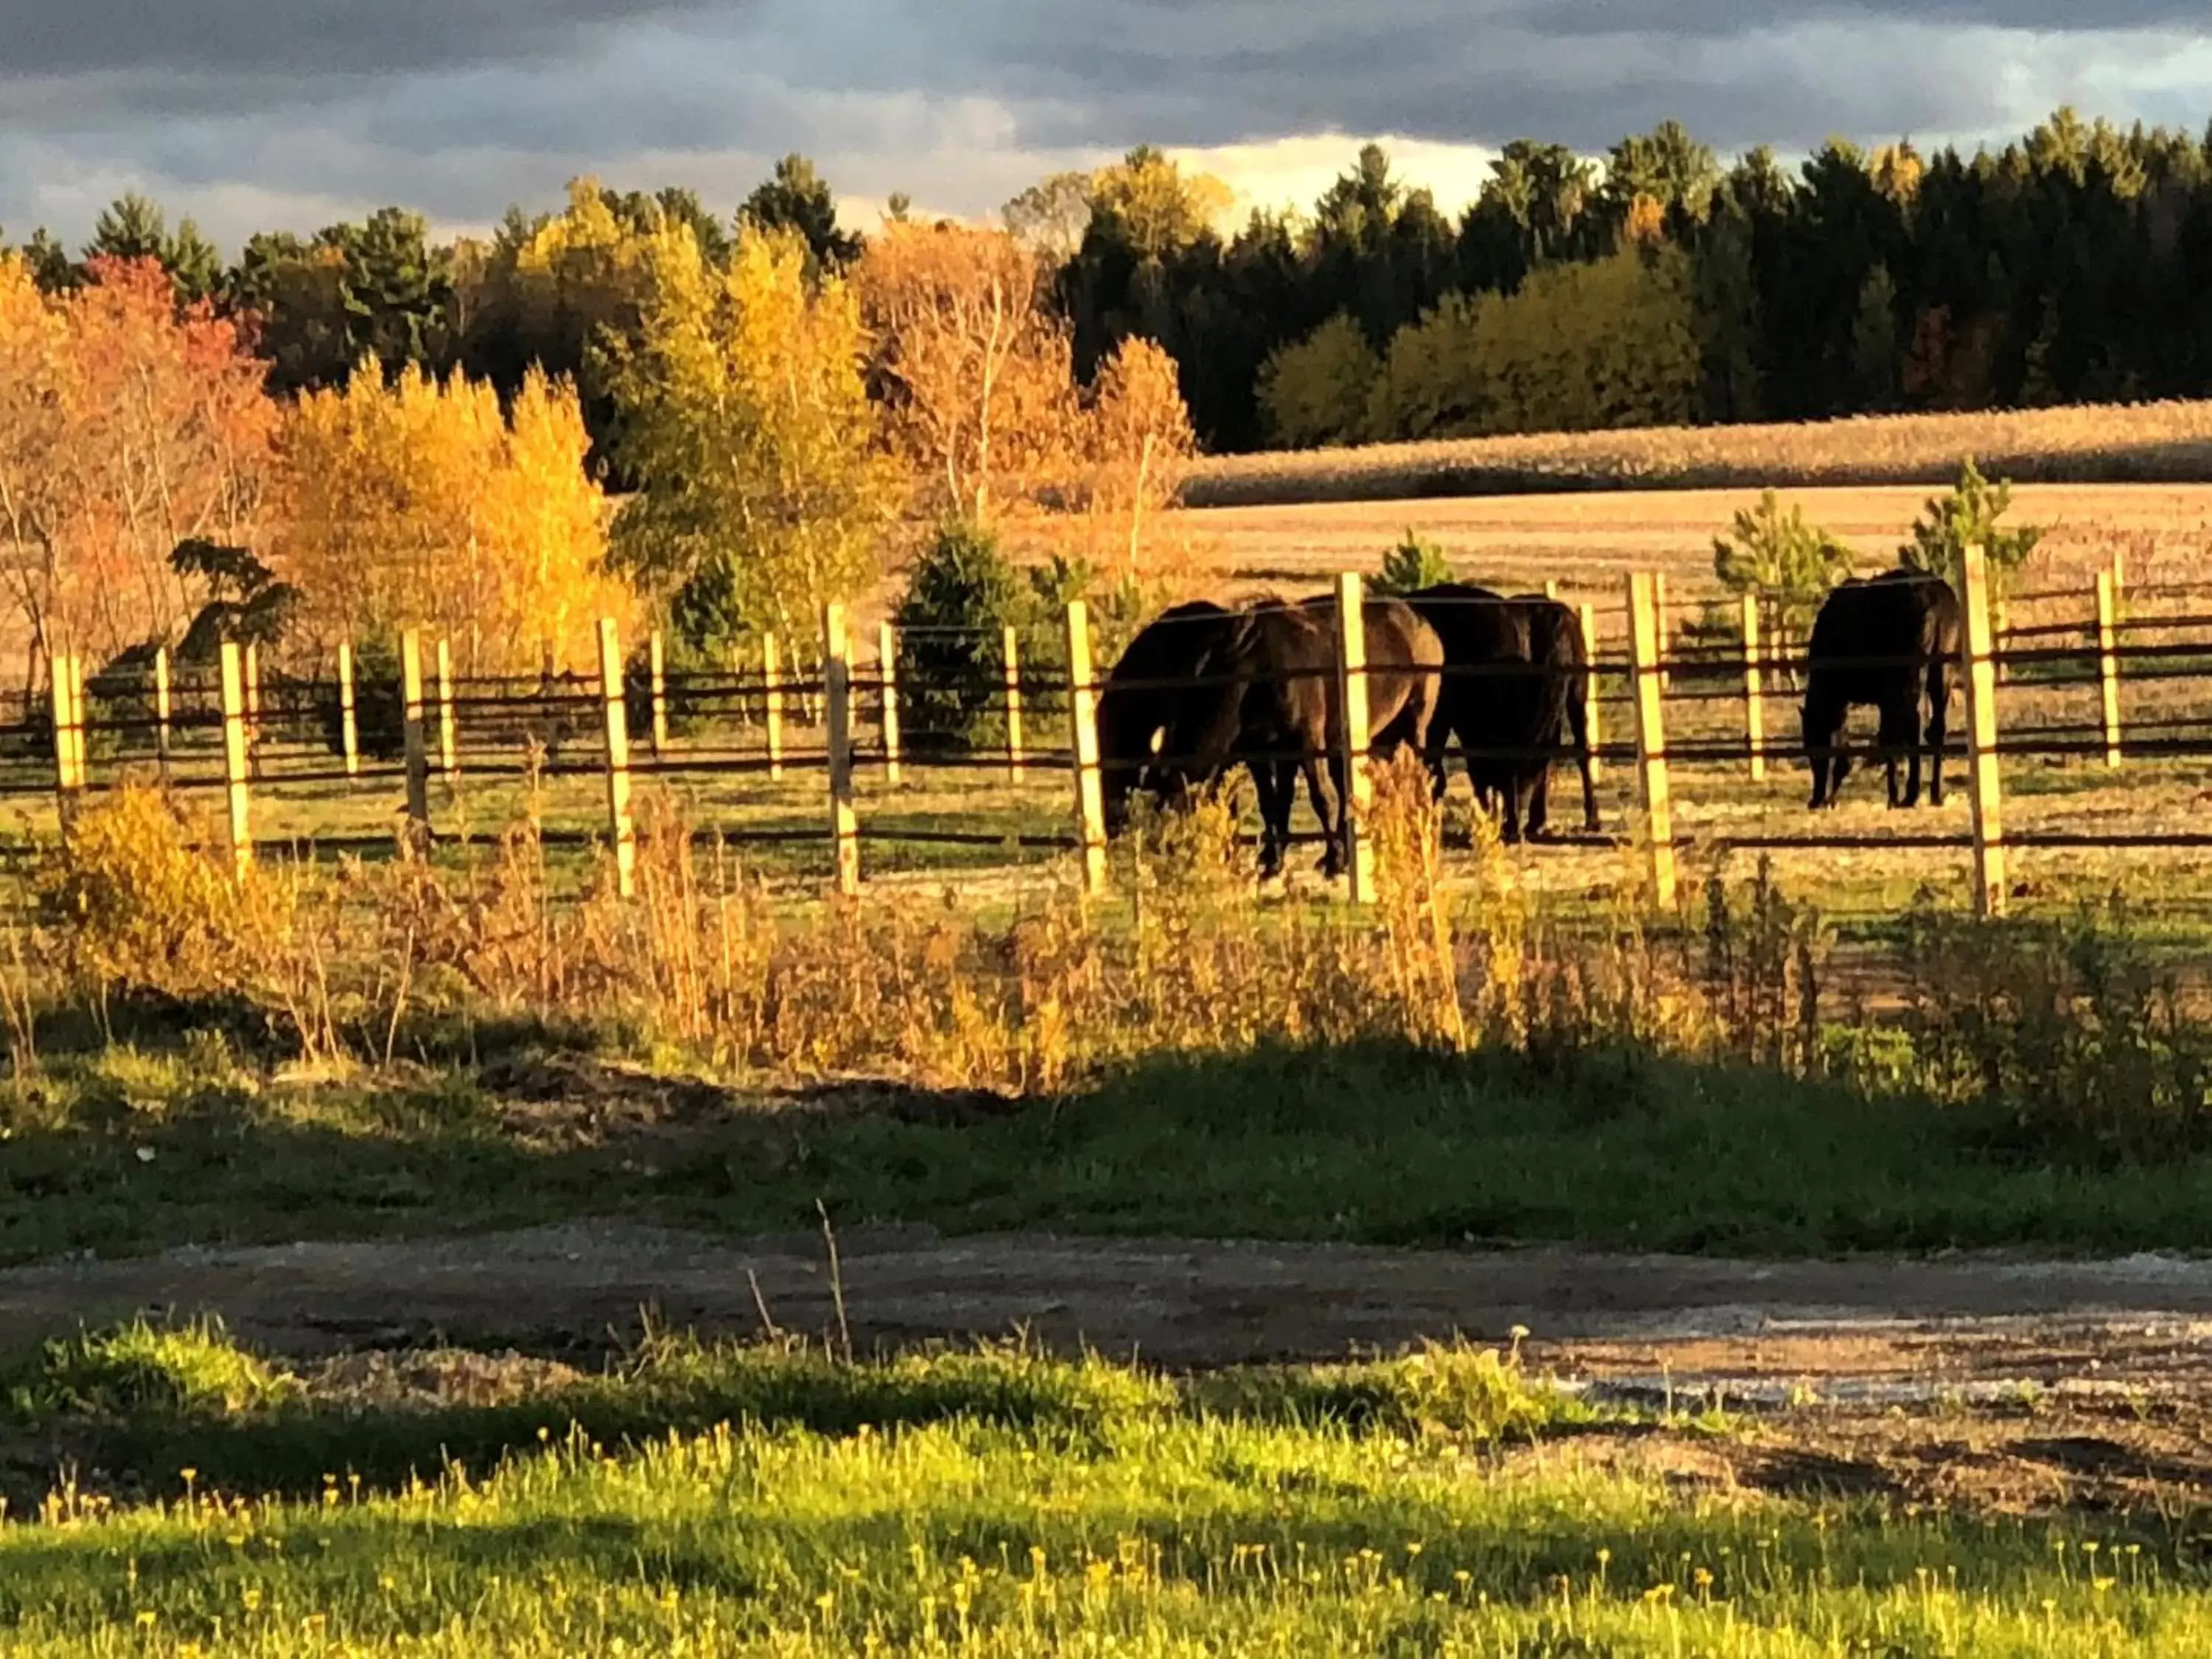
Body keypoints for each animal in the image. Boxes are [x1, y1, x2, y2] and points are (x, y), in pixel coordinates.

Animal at [1141, 597, 1451, 885]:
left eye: (1172, 810)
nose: (1162, 858)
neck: (1256, 673)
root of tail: (1423, 624)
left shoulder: (1307, 744)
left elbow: (1321, 798)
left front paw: (1332, 862)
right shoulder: (1264, 752)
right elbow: (1274, 803)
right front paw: (1273, 863)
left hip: (1414, 726)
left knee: (1417, 780)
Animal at [1805, 571, 1964, 814]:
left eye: (1813, 747)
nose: (1816, 800)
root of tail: (1935, 598)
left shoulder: (1885, 698)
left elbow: (1888, 738)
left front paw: (1893, 796)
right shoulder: (1884, 700)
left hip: (1912, 682)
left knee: (1915, 728)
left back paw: (1911, 796)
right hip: (1941, 676)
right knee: (1936, 729)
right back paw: (1936, 795)